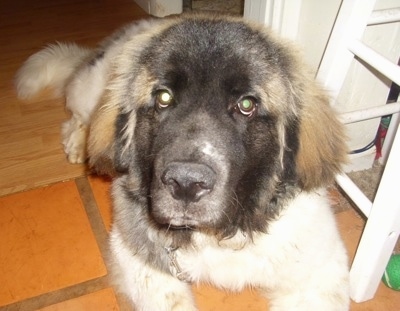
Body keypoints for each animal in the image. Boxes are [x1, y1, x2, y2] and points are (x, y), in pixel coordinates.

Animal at [15, 13, 348, 310]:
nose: (186, 183)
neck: (219, 233)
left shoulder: (320, 268)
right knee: (77, 116)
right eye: (163, 98)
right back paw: (77, 143)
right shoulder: (135, 254)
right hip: (92, 92)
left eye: (246, 104)